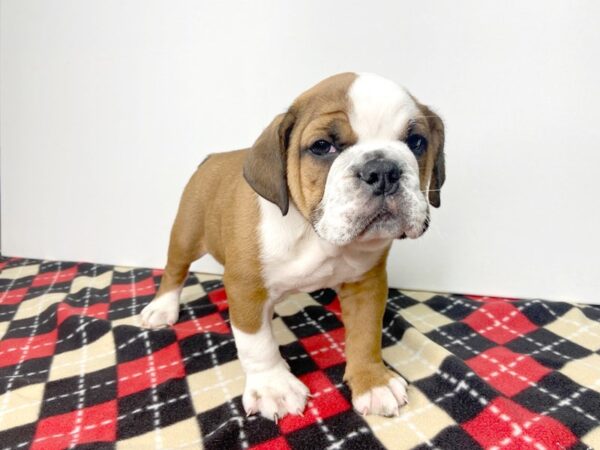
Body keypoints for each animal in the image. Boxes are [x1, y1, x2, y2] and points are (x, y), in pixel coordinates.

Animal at [138, 73, 442, 422]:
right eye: (322, 146)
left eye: (416, 142)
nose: (382, 171)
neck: (316, 235)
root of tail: (211, 159)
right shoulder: (245, 287)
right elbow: (257, 343)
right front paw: (274, 386)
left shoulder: (366, 283)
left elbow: (366, 334)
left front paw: (372, 381)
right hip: (186, 233)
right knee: (175, 269)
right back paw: (162, 307)